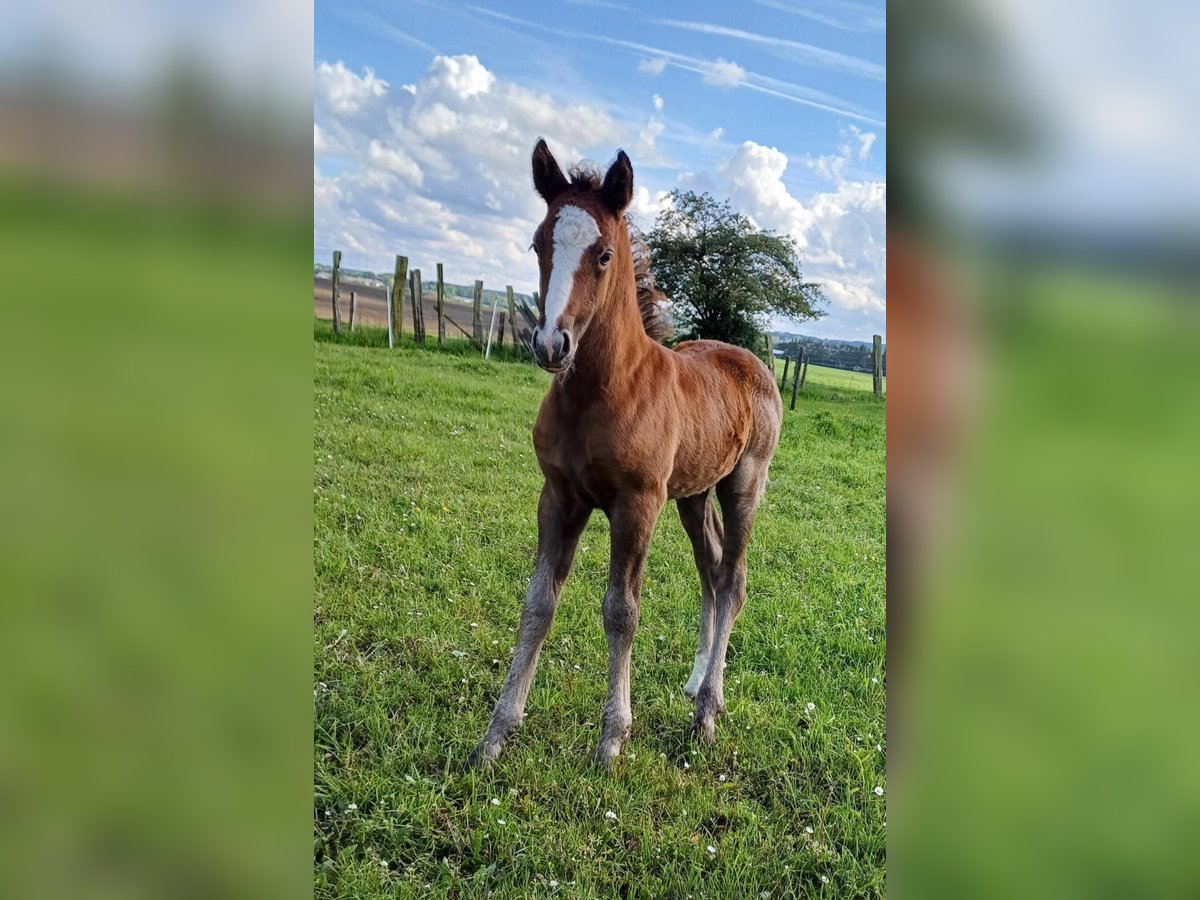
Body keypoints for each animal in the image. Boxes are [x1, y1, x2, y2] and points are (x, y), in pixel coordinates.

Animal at [468, 141, 787, 768]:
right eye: (538, 244)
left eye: (605, 254)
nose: (551, 344)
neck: (604, 392)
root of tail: (752, 361)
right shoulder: (559, 497)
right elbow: (538, 604)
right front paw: (496, 735)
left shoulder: (636, 505)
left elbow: (621, 611)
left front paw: (612, 738)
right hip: (691, 495)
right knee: (712, 569)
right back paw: (697, 685)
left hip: (743, 484)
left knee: (733, 578)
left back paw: (707, 712)